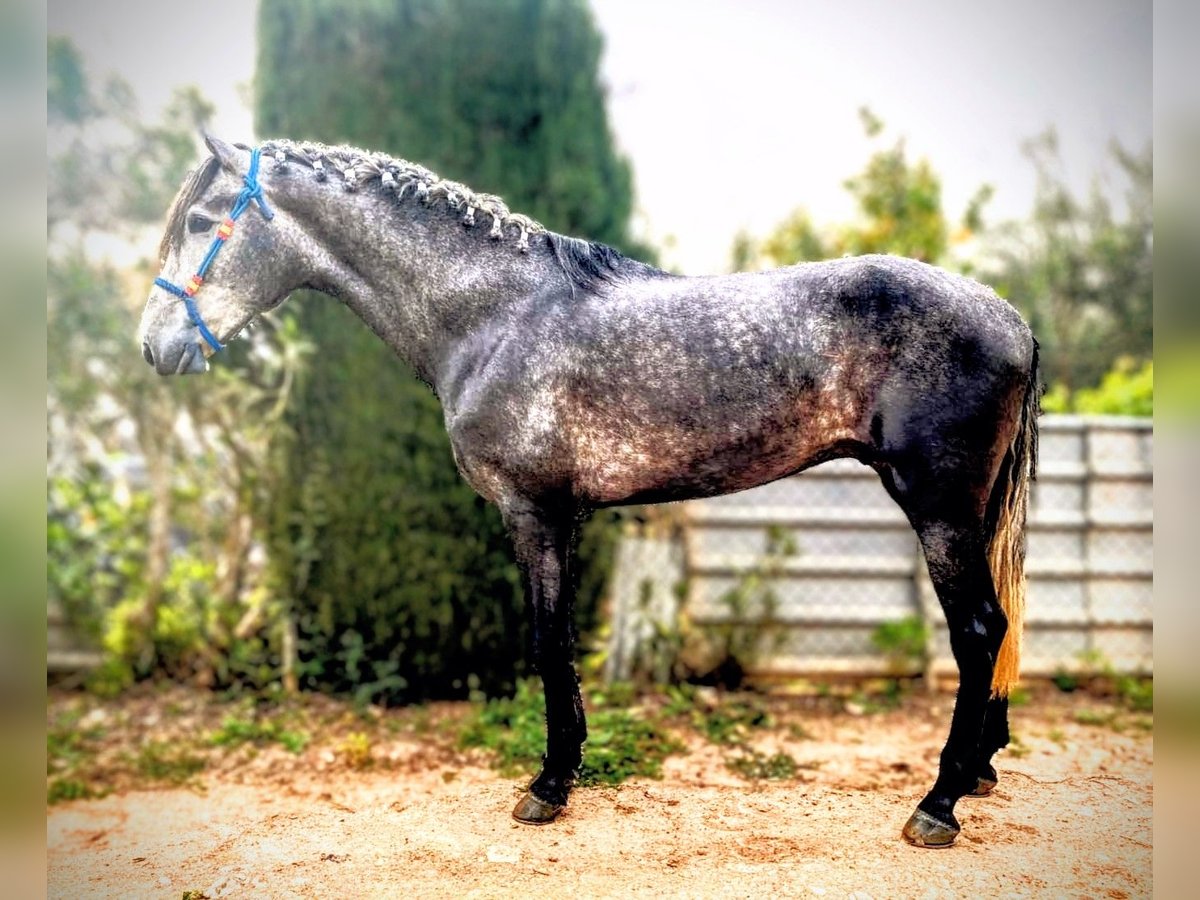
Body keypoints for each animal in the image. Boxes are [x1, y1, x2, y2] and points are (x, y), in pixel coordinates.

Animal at [139, 135, 1039, 848]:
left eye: (199, 223)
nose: (154, 348)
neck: (494, 316)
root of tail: (1008, 315)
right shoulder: (564, 518)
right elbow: (564, 639)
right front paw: (567, 768)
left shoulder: (532, 512)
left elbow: (547, 641)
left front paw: (547, 786)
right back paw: (978, 772)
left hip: (940, 510)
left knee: (978, 630)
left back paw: (938, 804)